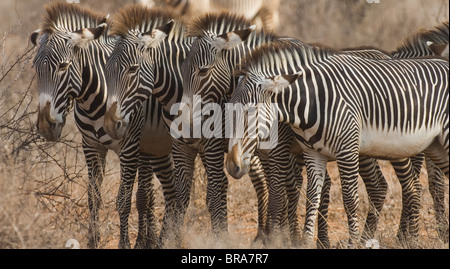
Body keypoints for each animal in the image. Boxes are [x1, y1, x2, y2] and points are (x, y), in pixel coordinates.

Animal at [30, 2, 177, 249]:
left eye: (63, 66)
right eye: (34, 68)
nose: (45, 126)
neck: (94, 99)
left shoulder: (129, 148)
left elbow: (124, 200)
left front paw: (124, 244)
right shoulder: (91, 146)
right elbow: (94, 197)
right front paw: (93, 241)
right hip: (155, 149)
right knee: (161, 190)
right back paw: (155, 239)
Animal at [103, 4, 270, 247]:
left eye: (133, 69)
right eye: (106, 70)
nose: (109, 125)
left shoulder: (212, 147)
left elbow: (214, 195)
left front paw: (220, 239)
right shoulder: (180, 146)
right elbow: (180, 196)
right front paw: (171, 240)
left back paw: (267, 234)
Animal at [230, 38, 448, 246]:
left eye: (250, 111)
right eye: (228, 108)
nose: (232, 165)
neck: (311, 99)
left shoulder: (344, 150)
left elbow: (348, 198)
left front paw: (350, 242)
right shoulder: (312, 153)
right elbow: (312, 196)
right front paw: (305, 241)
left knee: (411, 186)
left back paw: (409, 239)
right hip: (434, 147)